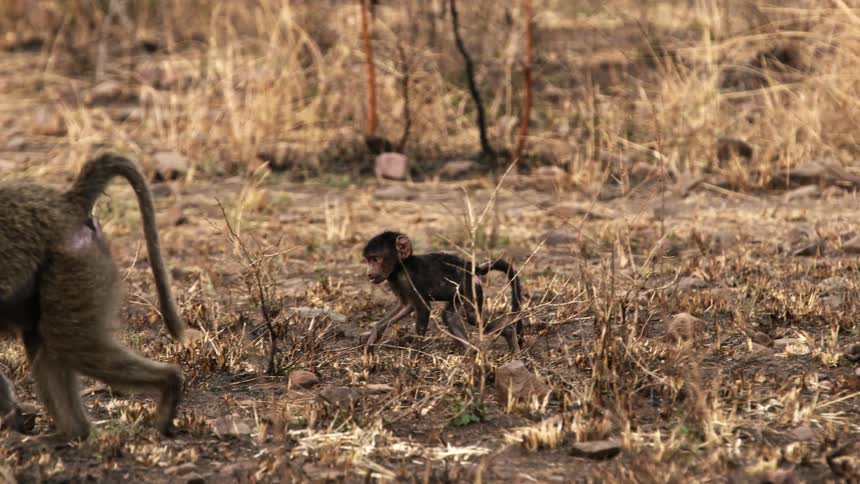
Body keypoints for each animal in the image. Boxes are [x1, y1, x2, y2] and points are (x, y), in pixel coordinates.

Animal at [0, 153, 185, 440]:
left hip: (73, 263)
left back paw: (169, 387)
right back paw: (70, 434)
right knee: (45, 342)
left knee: (70, 342)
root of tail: (67, 204)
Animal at [362, 231, 526, 352]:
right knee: (449, 316)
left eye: (376, 259)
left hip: (470, 285)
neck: (401, 266)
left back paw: (509, 334)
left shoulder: (408, 278)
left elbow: (423, 308)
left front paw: (415, 356)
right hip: (461, 294)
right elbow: (405, 306)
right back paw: (470, 353)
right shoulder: (395, 281)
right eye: (369, 260)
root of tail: (474, 268)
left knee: (472, 316)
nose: (369, 273)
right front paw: (373, 337)